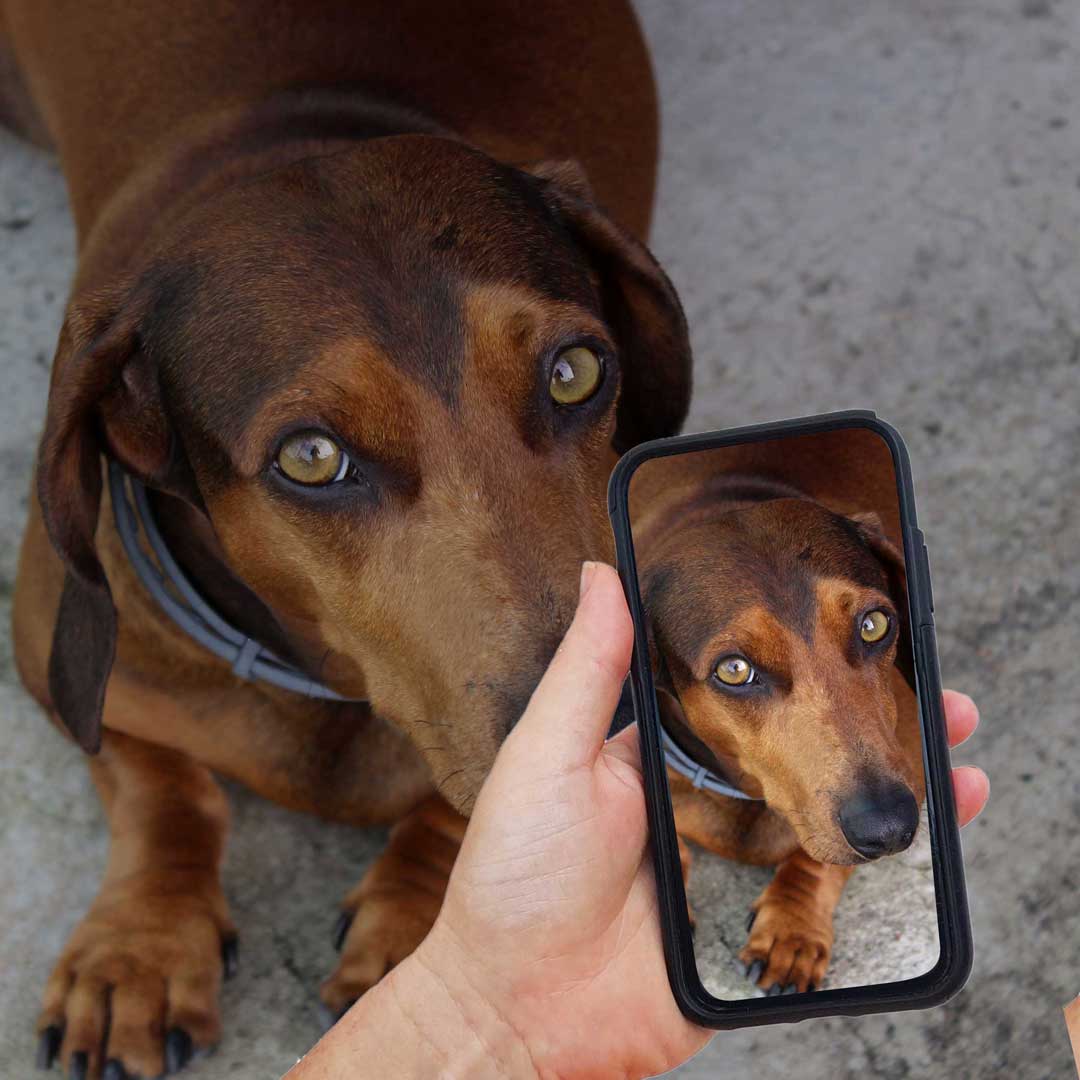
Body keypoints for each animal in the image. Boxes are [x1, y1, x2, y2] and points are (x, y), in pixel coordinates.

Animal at [2, 4, 691, 1075]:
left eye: (576, 370)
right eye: (312, 456)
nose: (619, 725)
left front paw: (415, 930)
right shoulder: (50, 653)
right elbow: (160, 784)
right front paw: (139, 950)